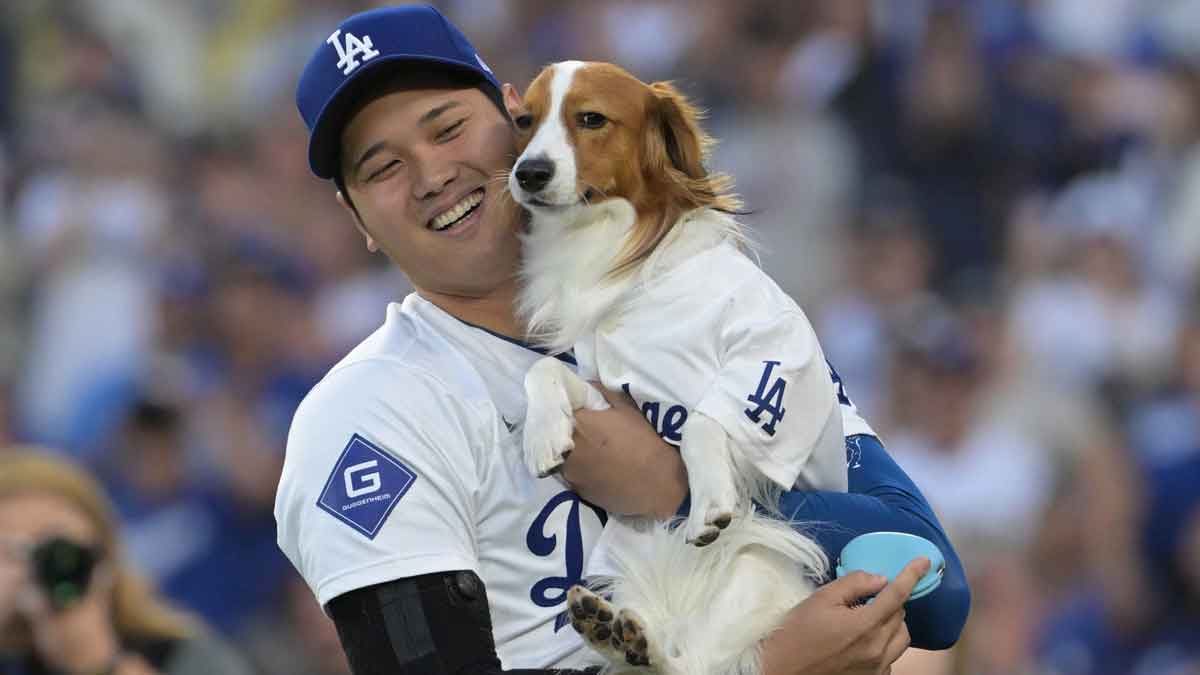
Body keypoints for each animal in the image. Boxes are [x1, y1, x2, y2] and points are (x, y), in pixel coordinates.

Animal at [506, 60, 844, 667]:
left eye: (591, 119)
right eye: (525, 120)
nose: (529, 173)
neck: (624, 262)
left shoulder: (776, 349)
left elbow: (704, 423)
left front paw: (709, 501)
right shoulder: (605, 390)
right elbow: (543, 370)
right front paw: (545, 433)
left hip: (756, 569)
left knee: (696, 664)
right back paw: (615, 632)